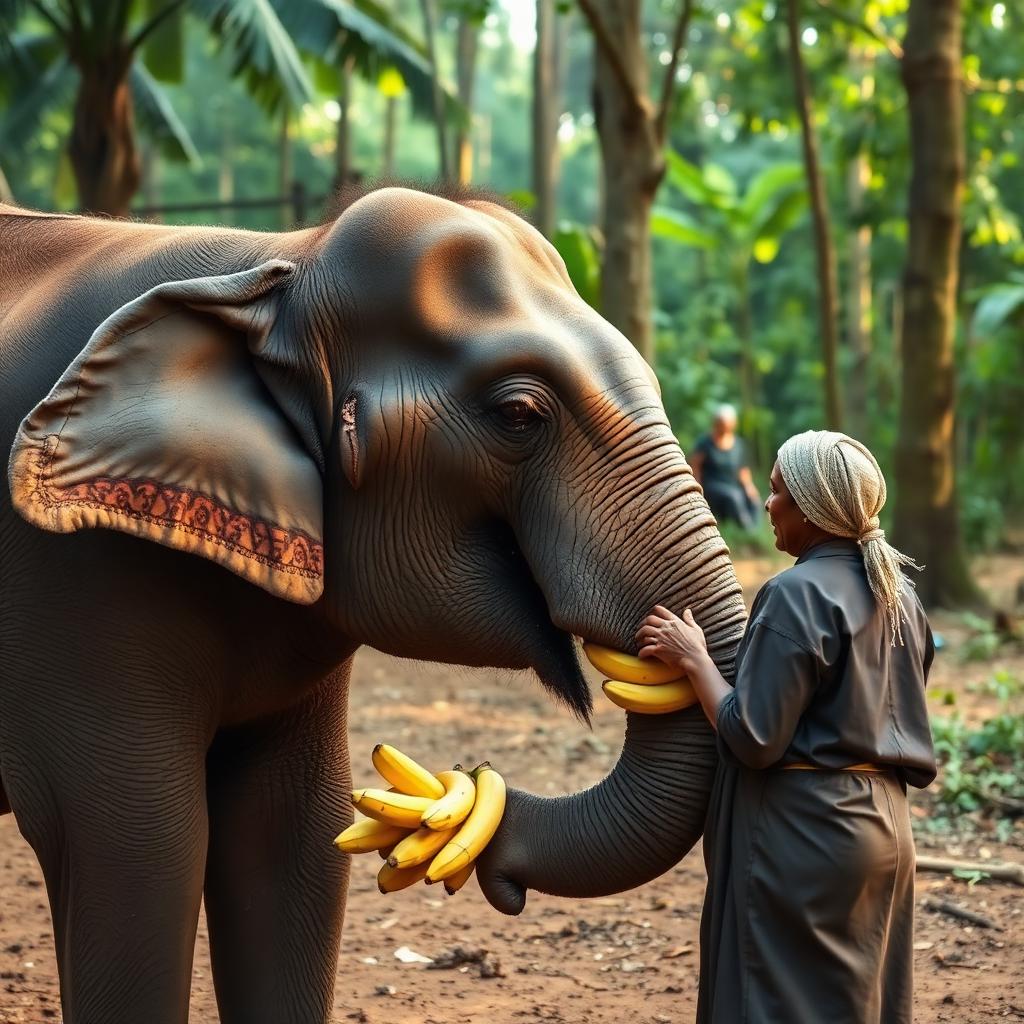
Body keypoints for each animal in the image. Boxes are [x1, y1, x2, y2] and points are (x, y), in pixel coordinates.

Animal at [0, 187, 747, 1023]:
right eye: (520, 415)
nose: (497, 855)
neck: (276, 262)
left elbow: (294, 835)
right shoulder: (70, 579)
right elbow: (136, 842)